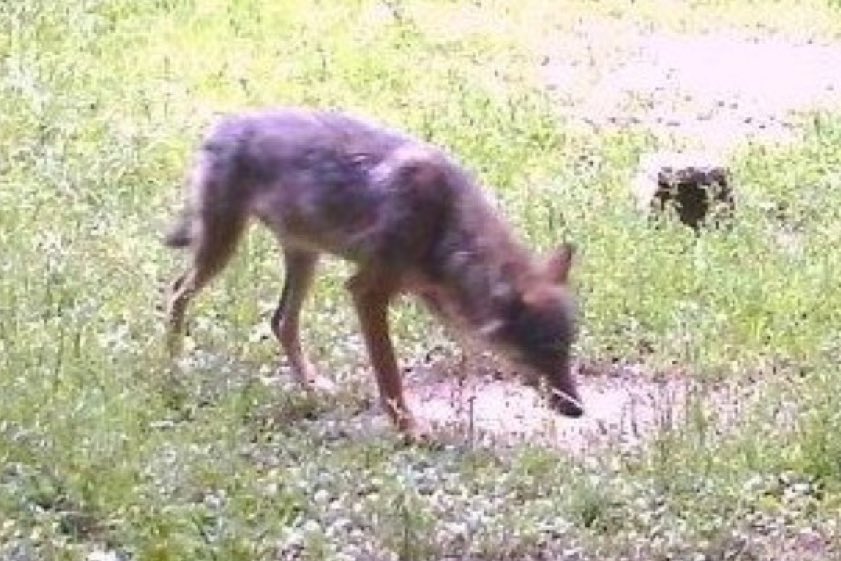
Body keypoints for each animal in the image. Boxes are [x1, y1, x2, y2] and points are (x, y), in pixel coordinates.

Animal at [164, 107, 584, 439]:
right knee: (176, 291)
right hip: (221, 249)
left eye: (567, 348)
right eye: (544, 350)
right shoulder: (367, 292)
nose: (578, 409)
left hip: (304, 257)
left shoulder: (433, 296)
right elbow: (390, 376)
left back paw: (312, 386)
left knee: (281, 321)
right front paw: (410, 432)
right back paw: (175, 365)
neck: (444, 221)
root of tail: (222, 125)